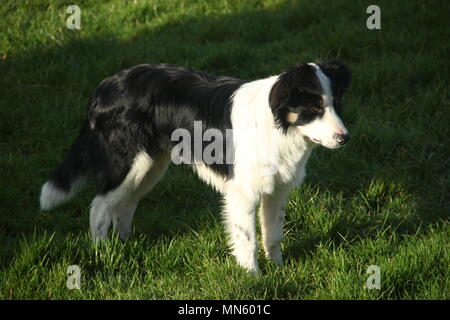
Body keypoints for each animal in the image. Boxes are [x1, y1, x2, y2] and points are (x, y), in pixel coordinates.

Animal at [39, 60, 352, 272]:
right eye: (314, 108)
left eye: (336, 104)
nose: (345, 138)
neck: (279, 125)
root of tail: (103, 88)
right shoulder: (243, 193)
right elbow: (248, 238)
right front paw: (253, 278)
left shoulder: (277, 189)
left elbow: (272, 235)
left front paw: (278, 271)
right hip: (129, 162)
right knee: (99, 207)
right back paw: (104, 255)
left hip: (151, 165)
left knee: (124, 206)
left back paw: (126, 246)